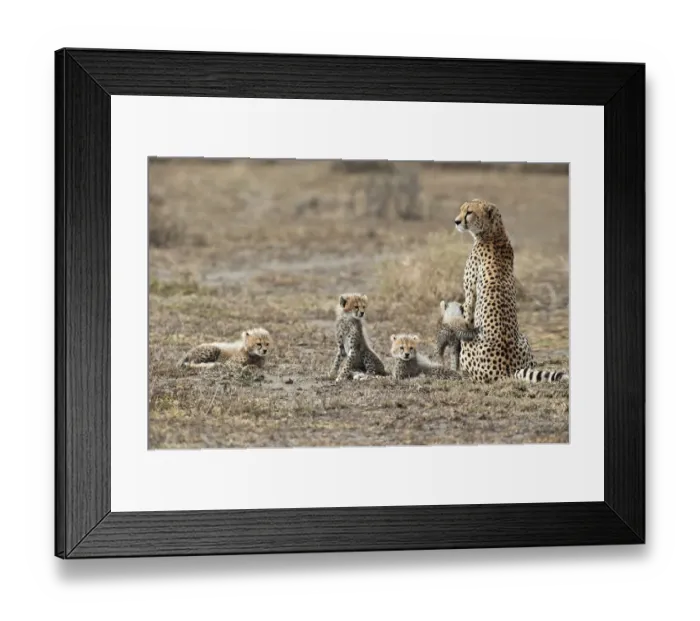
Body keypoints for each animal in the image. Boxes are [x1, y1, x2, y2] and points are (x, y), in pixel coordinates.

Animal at [454, 198, 569, 383]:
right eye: (461, 209)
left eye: (469, 212)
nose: (456, 221)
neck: (494, 232)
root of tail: (507, 369)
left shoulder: (470, 295)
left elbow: (466, 314)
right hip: (524, 338)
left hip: (470, 344)